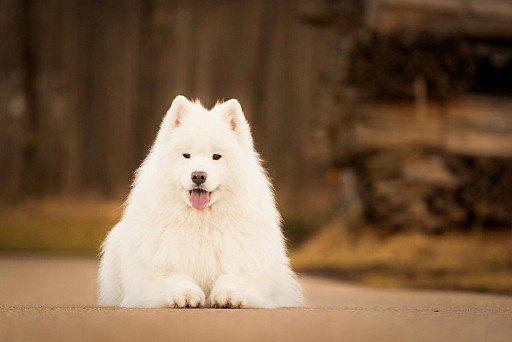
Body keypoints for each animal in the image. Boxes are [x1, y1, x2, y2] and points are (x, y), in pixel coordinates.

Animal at [98, 95, 302, 308]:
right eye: (186, 155)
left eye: (216, 157)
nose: (198, 176)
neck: (202, 222)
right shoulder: (151, 277)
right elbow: (176, 278)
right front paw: (186, 295)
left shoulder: (249, 271)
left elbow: (233, 277)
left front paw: (228, 295)